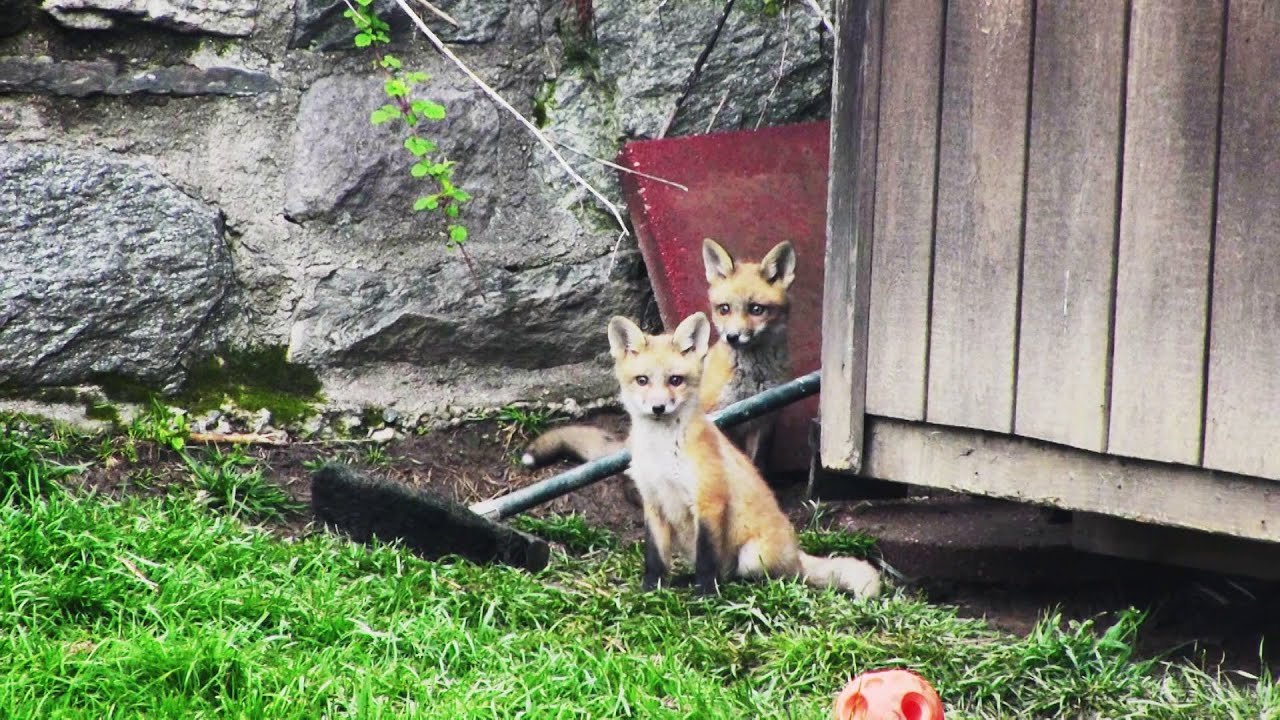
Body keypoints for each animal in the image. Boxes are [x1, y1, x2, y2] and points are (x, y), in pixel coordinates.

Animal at [521, 238, 796, 470]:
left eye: (756, 309)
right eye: (724, 309)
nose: (732, 337)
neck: (752, 381)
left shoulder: (765, 420)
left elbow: (756, 466)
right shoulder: (720, 419)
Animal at [608, 311, 881, 598]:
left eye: (675, 380)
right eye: (642, 380)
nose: (658, 407)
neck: (662, 454)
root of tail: (796, 553)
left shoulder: (709, 501)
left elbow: (707, 558)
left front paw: (705, 595)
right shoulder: (653, 502)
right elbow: (655, 558)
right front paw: (650, 590)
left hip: (752, 557)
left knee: (761, 576)